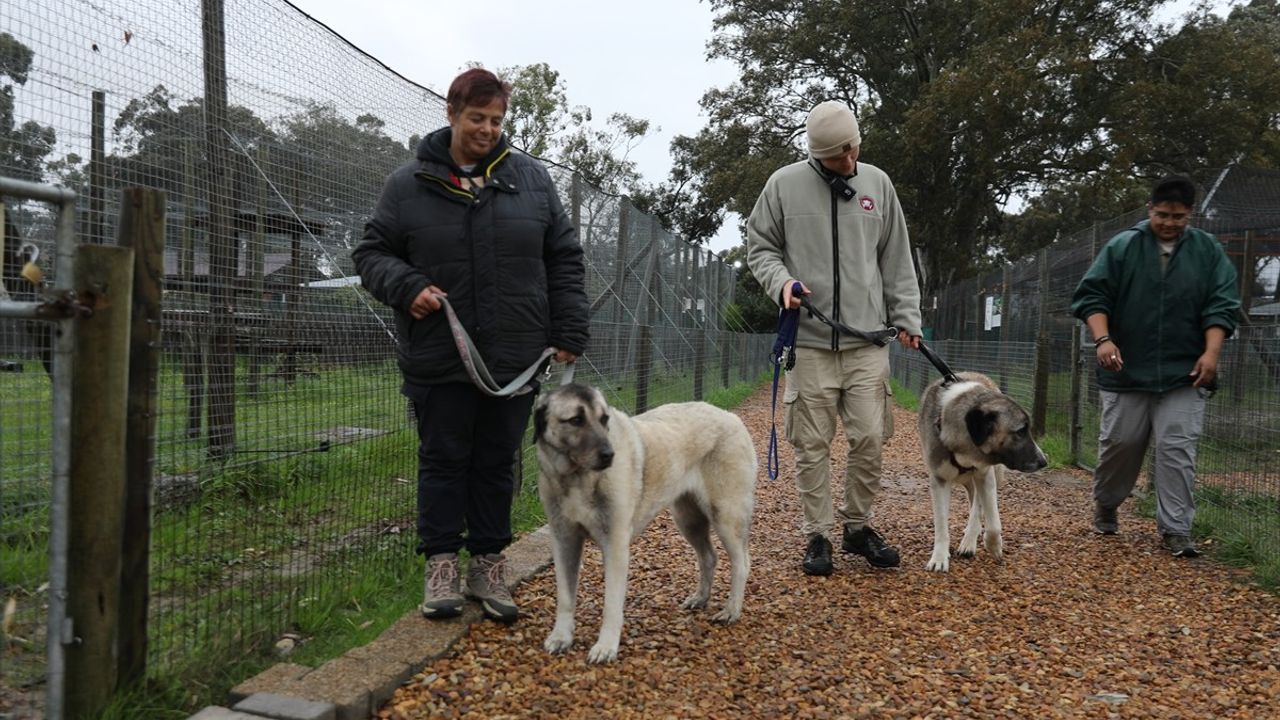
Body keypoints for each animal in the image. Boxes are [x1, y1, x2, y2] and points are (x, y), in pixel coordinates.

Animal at [532, 381, 757, 661]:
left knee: (742, 563)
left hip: (726, 516)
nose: (609, 455)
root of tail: (731, 417)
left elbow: (611, 604)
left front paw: (606, 646)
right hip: (688, 520)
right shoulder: (564, 542)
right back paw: (700, 598)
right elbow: (565, 597)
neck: (577, 479)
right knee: (708, 557)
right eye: (575, 420)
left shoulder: (615, 547)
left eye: (604, 419)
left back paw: (732, 610)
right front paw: (561, 637)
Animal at [921, 371, 1049, 568]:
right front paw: (939, 558)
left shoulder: (986, 476)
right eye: (1021, 431)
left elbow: (993, 523)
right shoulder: (939, 481)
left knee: (978, 507)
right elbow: (941, 524)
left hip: (990, 475)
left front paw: (994, 546)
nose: (1044, 461)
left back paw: (969, 541)